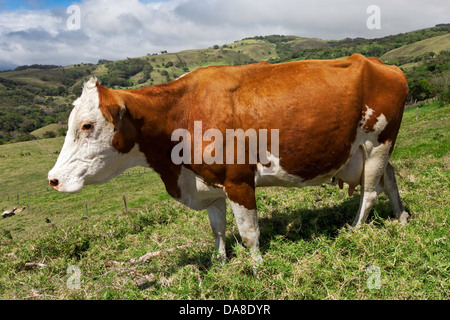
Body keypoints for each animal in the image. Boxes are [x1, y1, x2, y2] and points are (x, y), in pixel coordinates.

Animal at [47, 53, 410, 262]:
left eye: (87, 125)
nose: (53, 179)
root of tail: (380, 63)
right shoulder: (209, 185)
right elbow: (218, 230)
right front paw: (220, 264)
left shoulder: (238, 181)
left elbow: (249, 235)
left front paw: (257, 268)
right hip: (368, 149)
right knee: (390, 177)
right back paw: (401, 216)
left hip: (378, 142)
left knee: (370, 191)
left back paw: (355, 228)